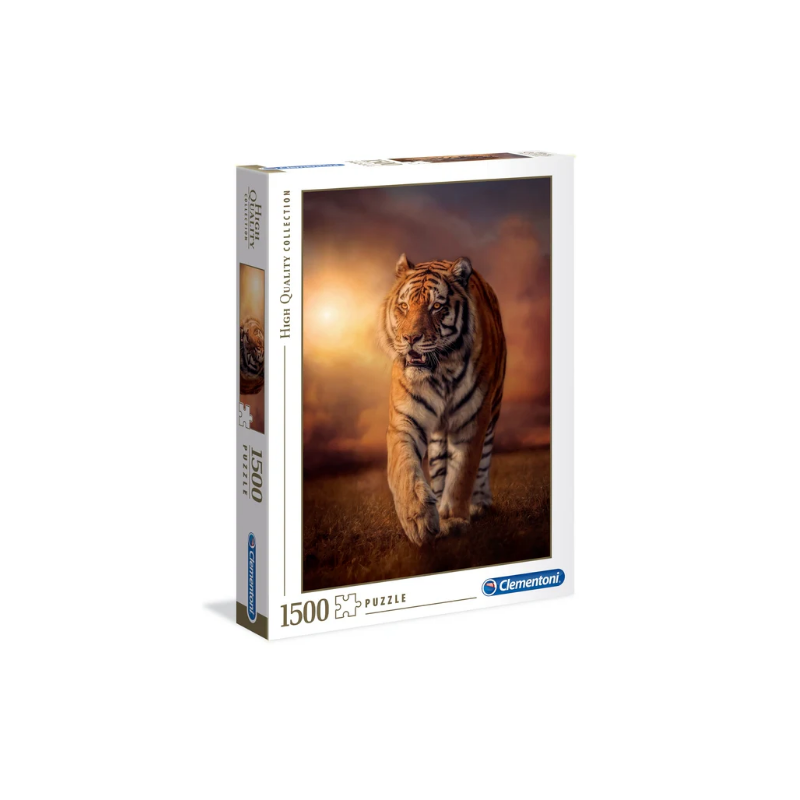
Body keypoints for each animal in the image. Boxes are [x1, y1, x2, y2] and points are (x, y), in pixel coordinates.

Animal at [379, 253, 507, 546]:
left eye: (436, 306)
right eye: (404, 306)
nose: (410, 338)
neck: (441, 373)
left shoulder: (473, 420)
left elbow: (463, 473)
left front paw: (454, 518)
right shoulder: (405, 419)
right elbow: (404, 468)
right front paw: (419, 519)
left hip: (493, 411)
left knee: (483, 461)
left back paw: (479, 502)